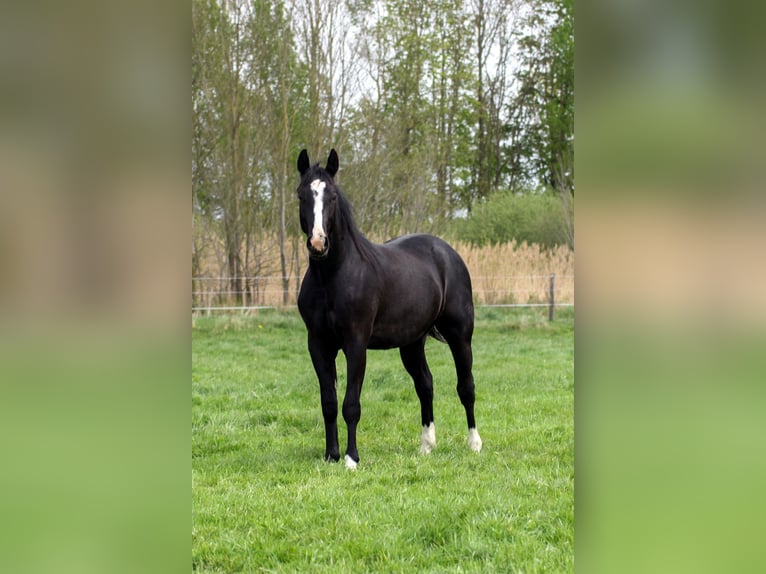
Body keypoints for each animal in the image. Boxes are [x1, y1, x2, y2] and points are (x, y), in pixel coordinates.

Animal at [296, 148, 482, 469]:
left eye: (332, 196)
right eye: (301, 195)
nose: (318, 243)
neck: (332, 277)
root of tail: (448, 253)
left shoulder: (356, 344)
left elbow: (351, 404)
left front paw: (351, 459)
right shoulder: (318, 345)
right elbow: (328, 402)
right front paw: (331, 455)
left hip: (460, 336)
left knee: (466, 387)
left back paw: (474, 444)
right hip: (412, 343)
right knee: (425, 385)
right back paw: (426, 445)